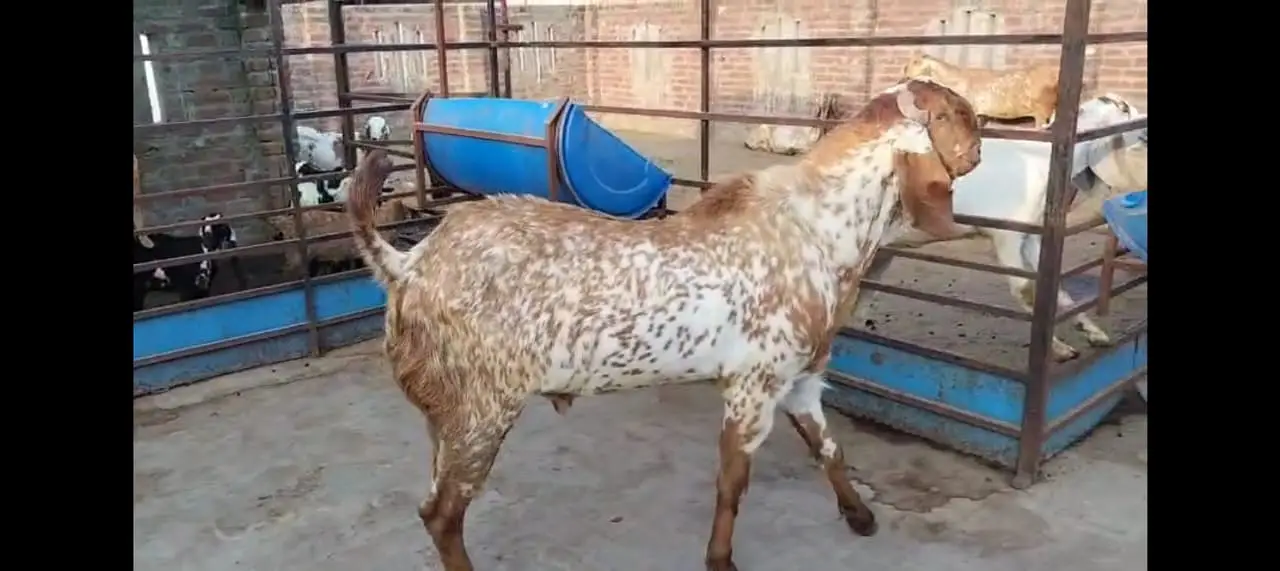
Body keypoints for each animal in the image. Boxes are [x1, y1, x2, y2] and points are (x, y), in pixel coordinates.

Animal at [344, 78, 982, 571]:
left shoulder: (800, 378)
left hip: (447, 413)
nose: (979, 148)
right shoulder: (754, 385)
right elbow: (732, 483)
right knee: (442, 513)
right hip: (483, 407)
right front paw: (720, 559)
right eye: (956, 114)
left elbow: (830, 449)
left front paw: (860, 515)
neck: (817, 228)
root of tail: (408, 264)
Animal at [858, 94, 1147, 362]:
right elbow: (1024, 290)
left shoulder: (1030, 236)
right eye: (1123, 108)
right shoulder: (1006, 236)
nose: (1144, 125)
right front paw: (1061, 349)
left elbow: (1058, 292)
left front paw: (1095, 334)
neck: (1040, 160)